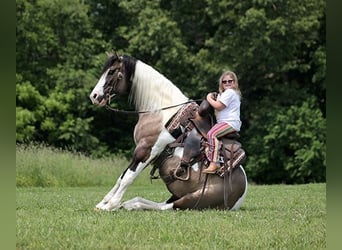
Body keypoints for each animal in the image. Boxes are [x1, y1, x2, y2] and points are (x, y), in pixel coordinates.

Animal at [89, 51, 247, 210]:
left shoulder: (147, 149)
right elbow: (121, 177)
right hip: (176, 196)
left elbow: (128, 177)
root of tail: (241, 194)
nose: (94, 96)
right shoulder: (143, 151)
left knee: (164, 207)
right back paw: (129, 204)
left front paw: (110, 205)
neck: (160, 112)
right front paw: (103, 203)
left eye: (111, 71)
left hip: (189, 200)